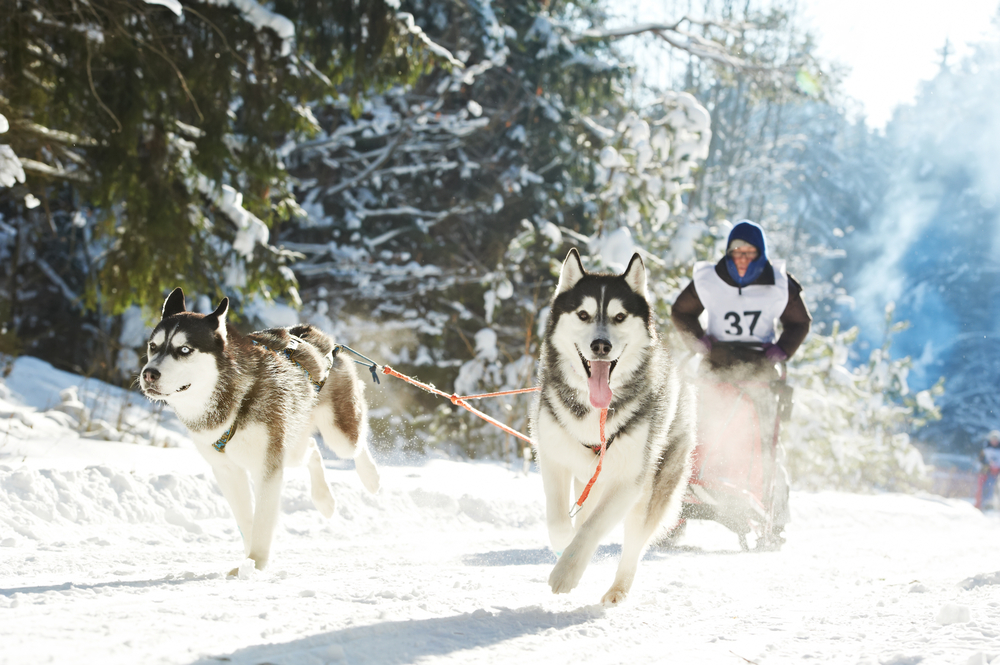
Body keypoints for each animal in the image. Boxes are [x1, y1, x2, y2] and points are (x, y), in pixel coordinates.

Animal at [137, 286, 378, 572]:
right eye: (153, 346)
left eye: (184, 349)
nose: (149, 374)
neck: (233, 399)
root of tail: (314, 334)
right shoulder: (228, 471)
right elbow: (246, 520)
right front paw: (249, 562)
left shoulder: (267, 468)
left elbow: (263, 519)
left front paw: (256, 561)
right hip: (289, 442)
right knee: (311, 449)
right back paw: (324, 500)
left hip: (338, 434)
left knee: (355, 444)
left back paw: (370, 476)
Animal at [532, 246, 696, 604]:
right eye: (583, 314)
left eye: (620, 317)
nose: (601, 345)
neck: (596, 412)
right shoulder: (552, 456)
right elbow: (558, 519)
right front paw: (562, 545)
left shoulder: (627, 482)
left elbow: (592, 528)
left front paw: (567, 572)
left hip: (652, 487)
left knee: (634, 544)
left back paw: (618, 589)